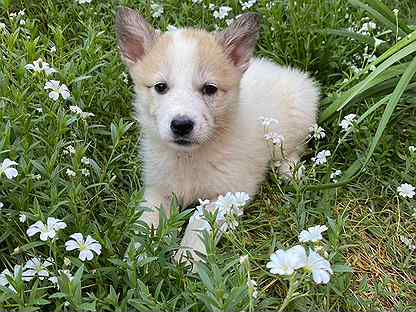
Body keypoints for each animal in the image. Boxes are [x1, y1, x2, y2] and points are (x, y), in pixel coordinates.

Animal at [115, 6, 320, 260]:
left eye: (210, 89)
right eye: (160, 87)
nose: (181, 125)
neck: (189, 158)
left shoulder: (227, 193)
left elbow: (197, 225)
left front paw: (185, 261)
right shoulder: (159, 189)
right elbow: (145, 225)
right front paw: (136, 261)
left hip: (299, 115)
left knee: (293, 149)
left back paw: (290, 172)